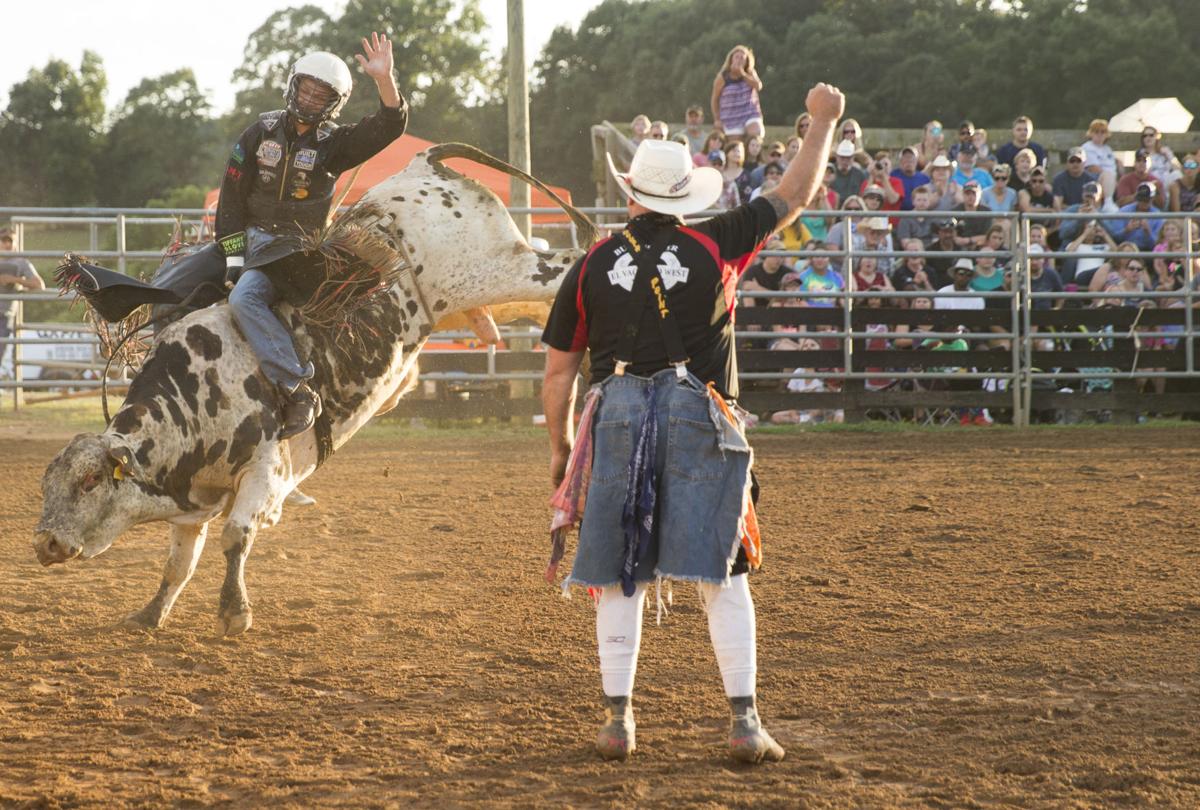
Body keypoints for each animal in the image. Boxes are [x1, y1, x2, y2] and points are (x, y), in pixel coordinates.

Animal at [36, 145, 595, 638]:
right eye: (46, 485)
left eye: (90, 481)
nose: (44, 543)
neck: (195, 395)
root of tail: (422, 164)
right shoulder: (194, 498)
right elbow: (179, 562)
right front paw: (150, 614)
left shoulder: (266, 469)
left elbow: (235, 537)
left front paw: (234, 613)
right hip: (484, 301)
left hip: (492, 270)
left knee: (565, 262)